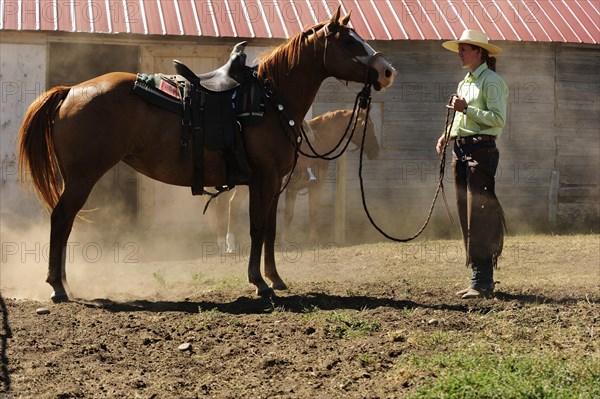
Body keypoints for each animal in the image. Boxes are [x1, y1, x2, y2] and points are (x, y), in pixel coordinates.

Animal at [219, 109, 380, 250]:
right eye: (367, 126)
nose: (376, 152)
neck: (317, 143)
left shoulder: (314, 186)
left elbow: (313, 212)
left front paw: (313, 240)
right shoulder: (294, 188)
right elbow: (289, 215)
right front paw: (285, 241)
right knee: (233, 204)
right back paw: (231, 244)